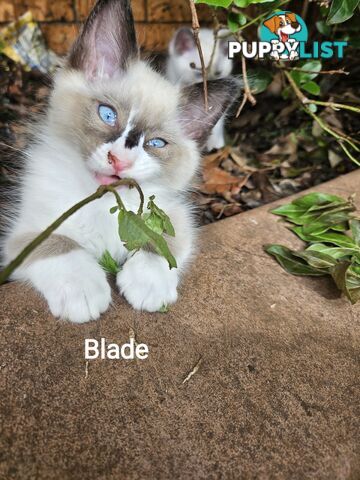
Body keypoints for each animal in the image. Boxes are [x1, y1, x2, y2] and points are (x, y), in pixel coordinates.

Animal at [0, 0, 239, 324]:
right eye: (107, 114)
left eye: (155, 144)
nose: (120, 161)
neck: (101, 203)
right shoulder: (24, 233)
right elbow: (58, 243)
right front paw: (81, 289)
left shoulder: (175, 214)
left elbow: (162, 242)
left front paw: (149, 284)